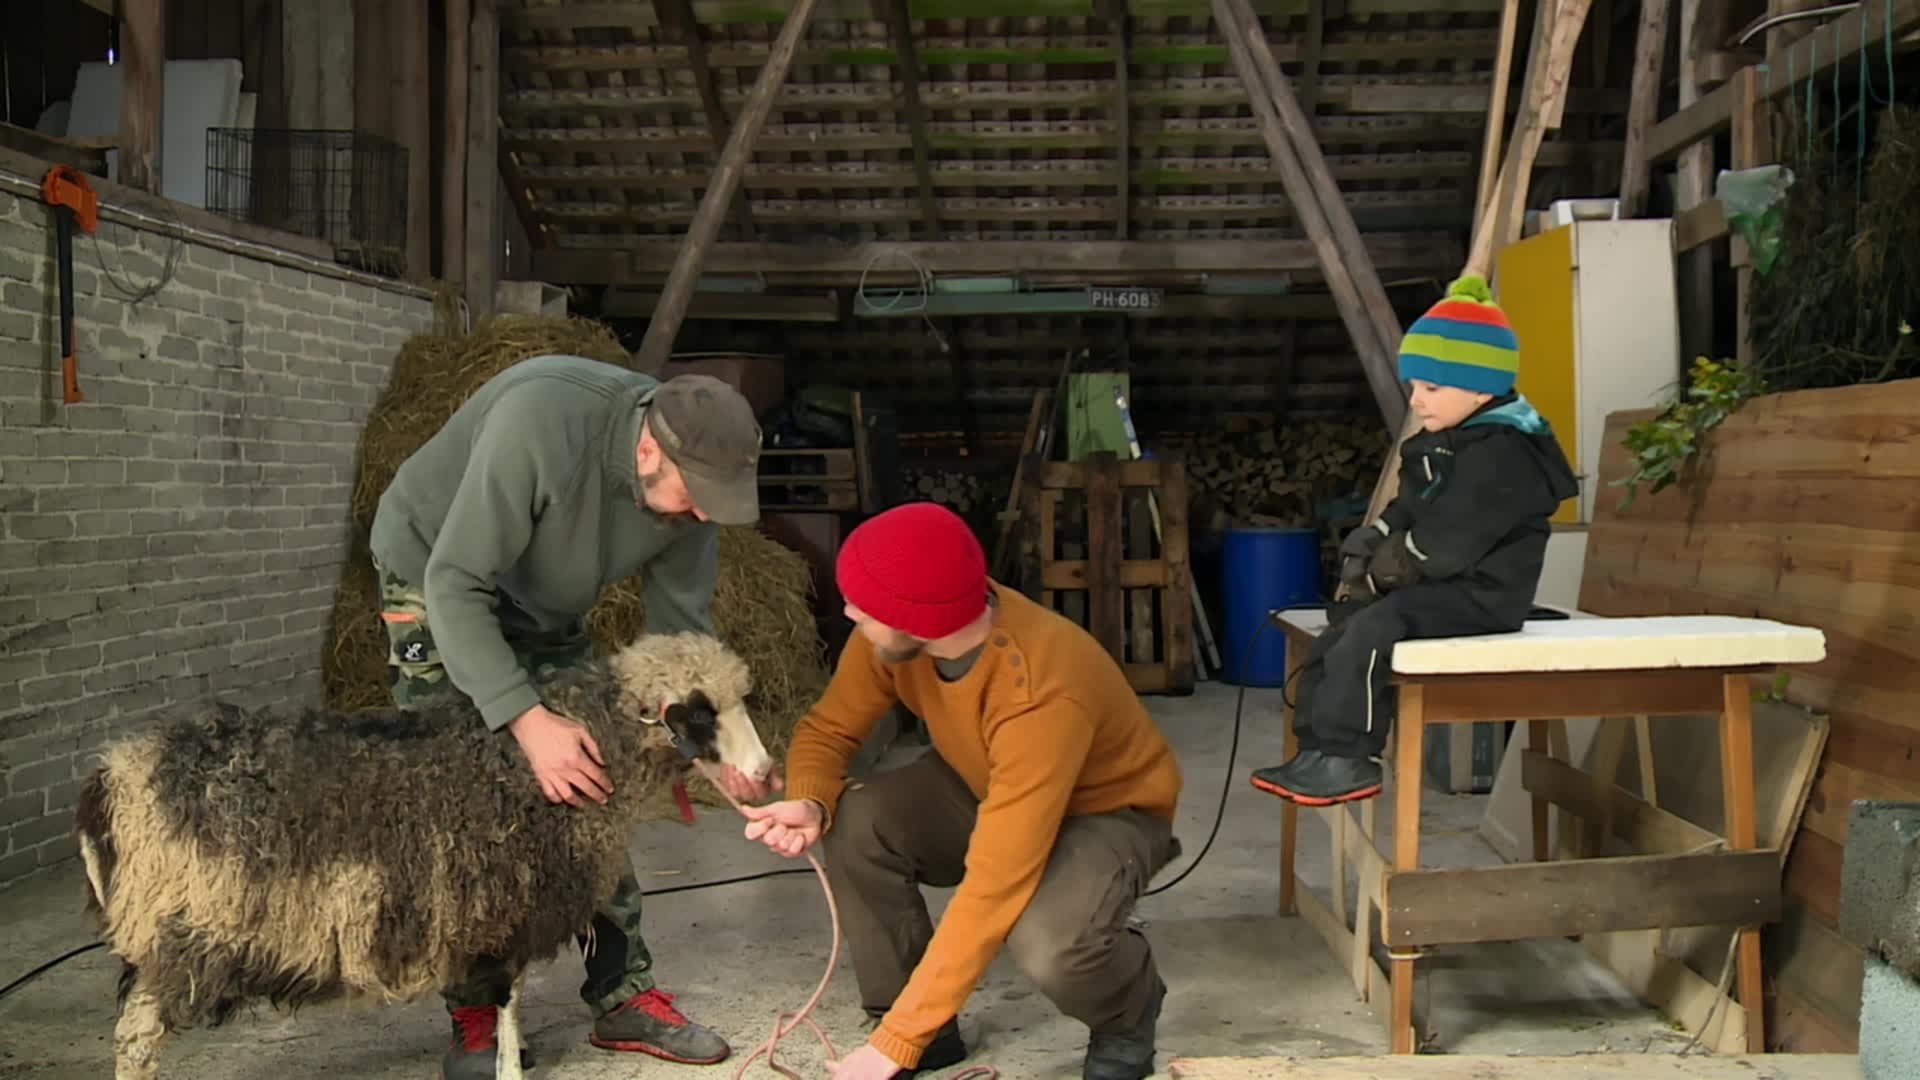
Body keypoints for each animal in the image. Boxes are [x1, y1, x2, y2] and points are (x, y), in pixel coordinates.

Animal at [73, 630, 775, 1080]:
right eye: (700, 713)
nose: (766, 773)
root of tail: (113, 775)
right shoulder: (506, 909)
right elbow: (507, 1001)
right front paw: (507, 1067)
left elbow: (508, 999)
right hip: (182, 932)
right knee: (135, 1042)